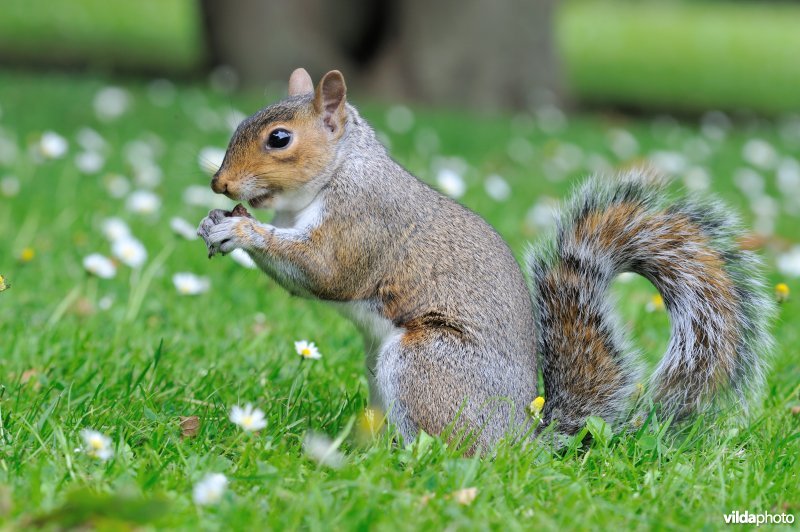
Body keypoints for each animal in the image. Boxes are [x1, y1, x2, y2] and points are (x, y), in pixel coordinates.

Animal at [198, 66, 776, 448]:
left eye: (279, 139)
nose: (219, 183)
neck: (338, 171)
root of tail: (516, 442)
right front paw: (214, 221)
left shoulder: (364, 222)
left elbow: (323, 272)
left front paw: (242, 229)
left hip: (425, 364)